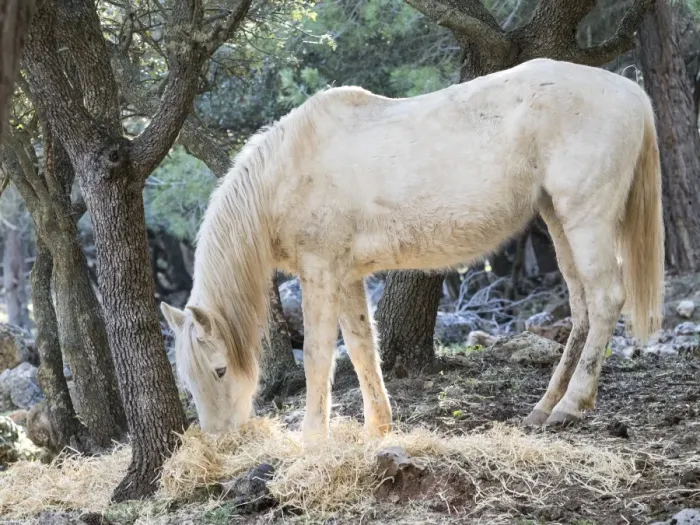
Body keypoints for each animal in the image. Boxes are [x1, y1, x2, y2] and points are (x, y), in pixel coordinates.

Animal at [160, 58, 664, 441]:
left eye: (220, 370)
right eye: (187, 378)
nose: (218, 440)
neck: (286, 171)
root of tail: (629, 91)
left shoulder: (320, 274)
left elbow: (320, 357)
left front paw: (312, 439)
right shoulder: (347, 277)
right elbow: (362, 347)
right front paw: (377, 428)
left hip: (586, 220)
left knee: (605, 300)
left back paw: (571, 405)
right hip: (557, 220)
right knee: (581, 308)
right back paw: (544, 407)